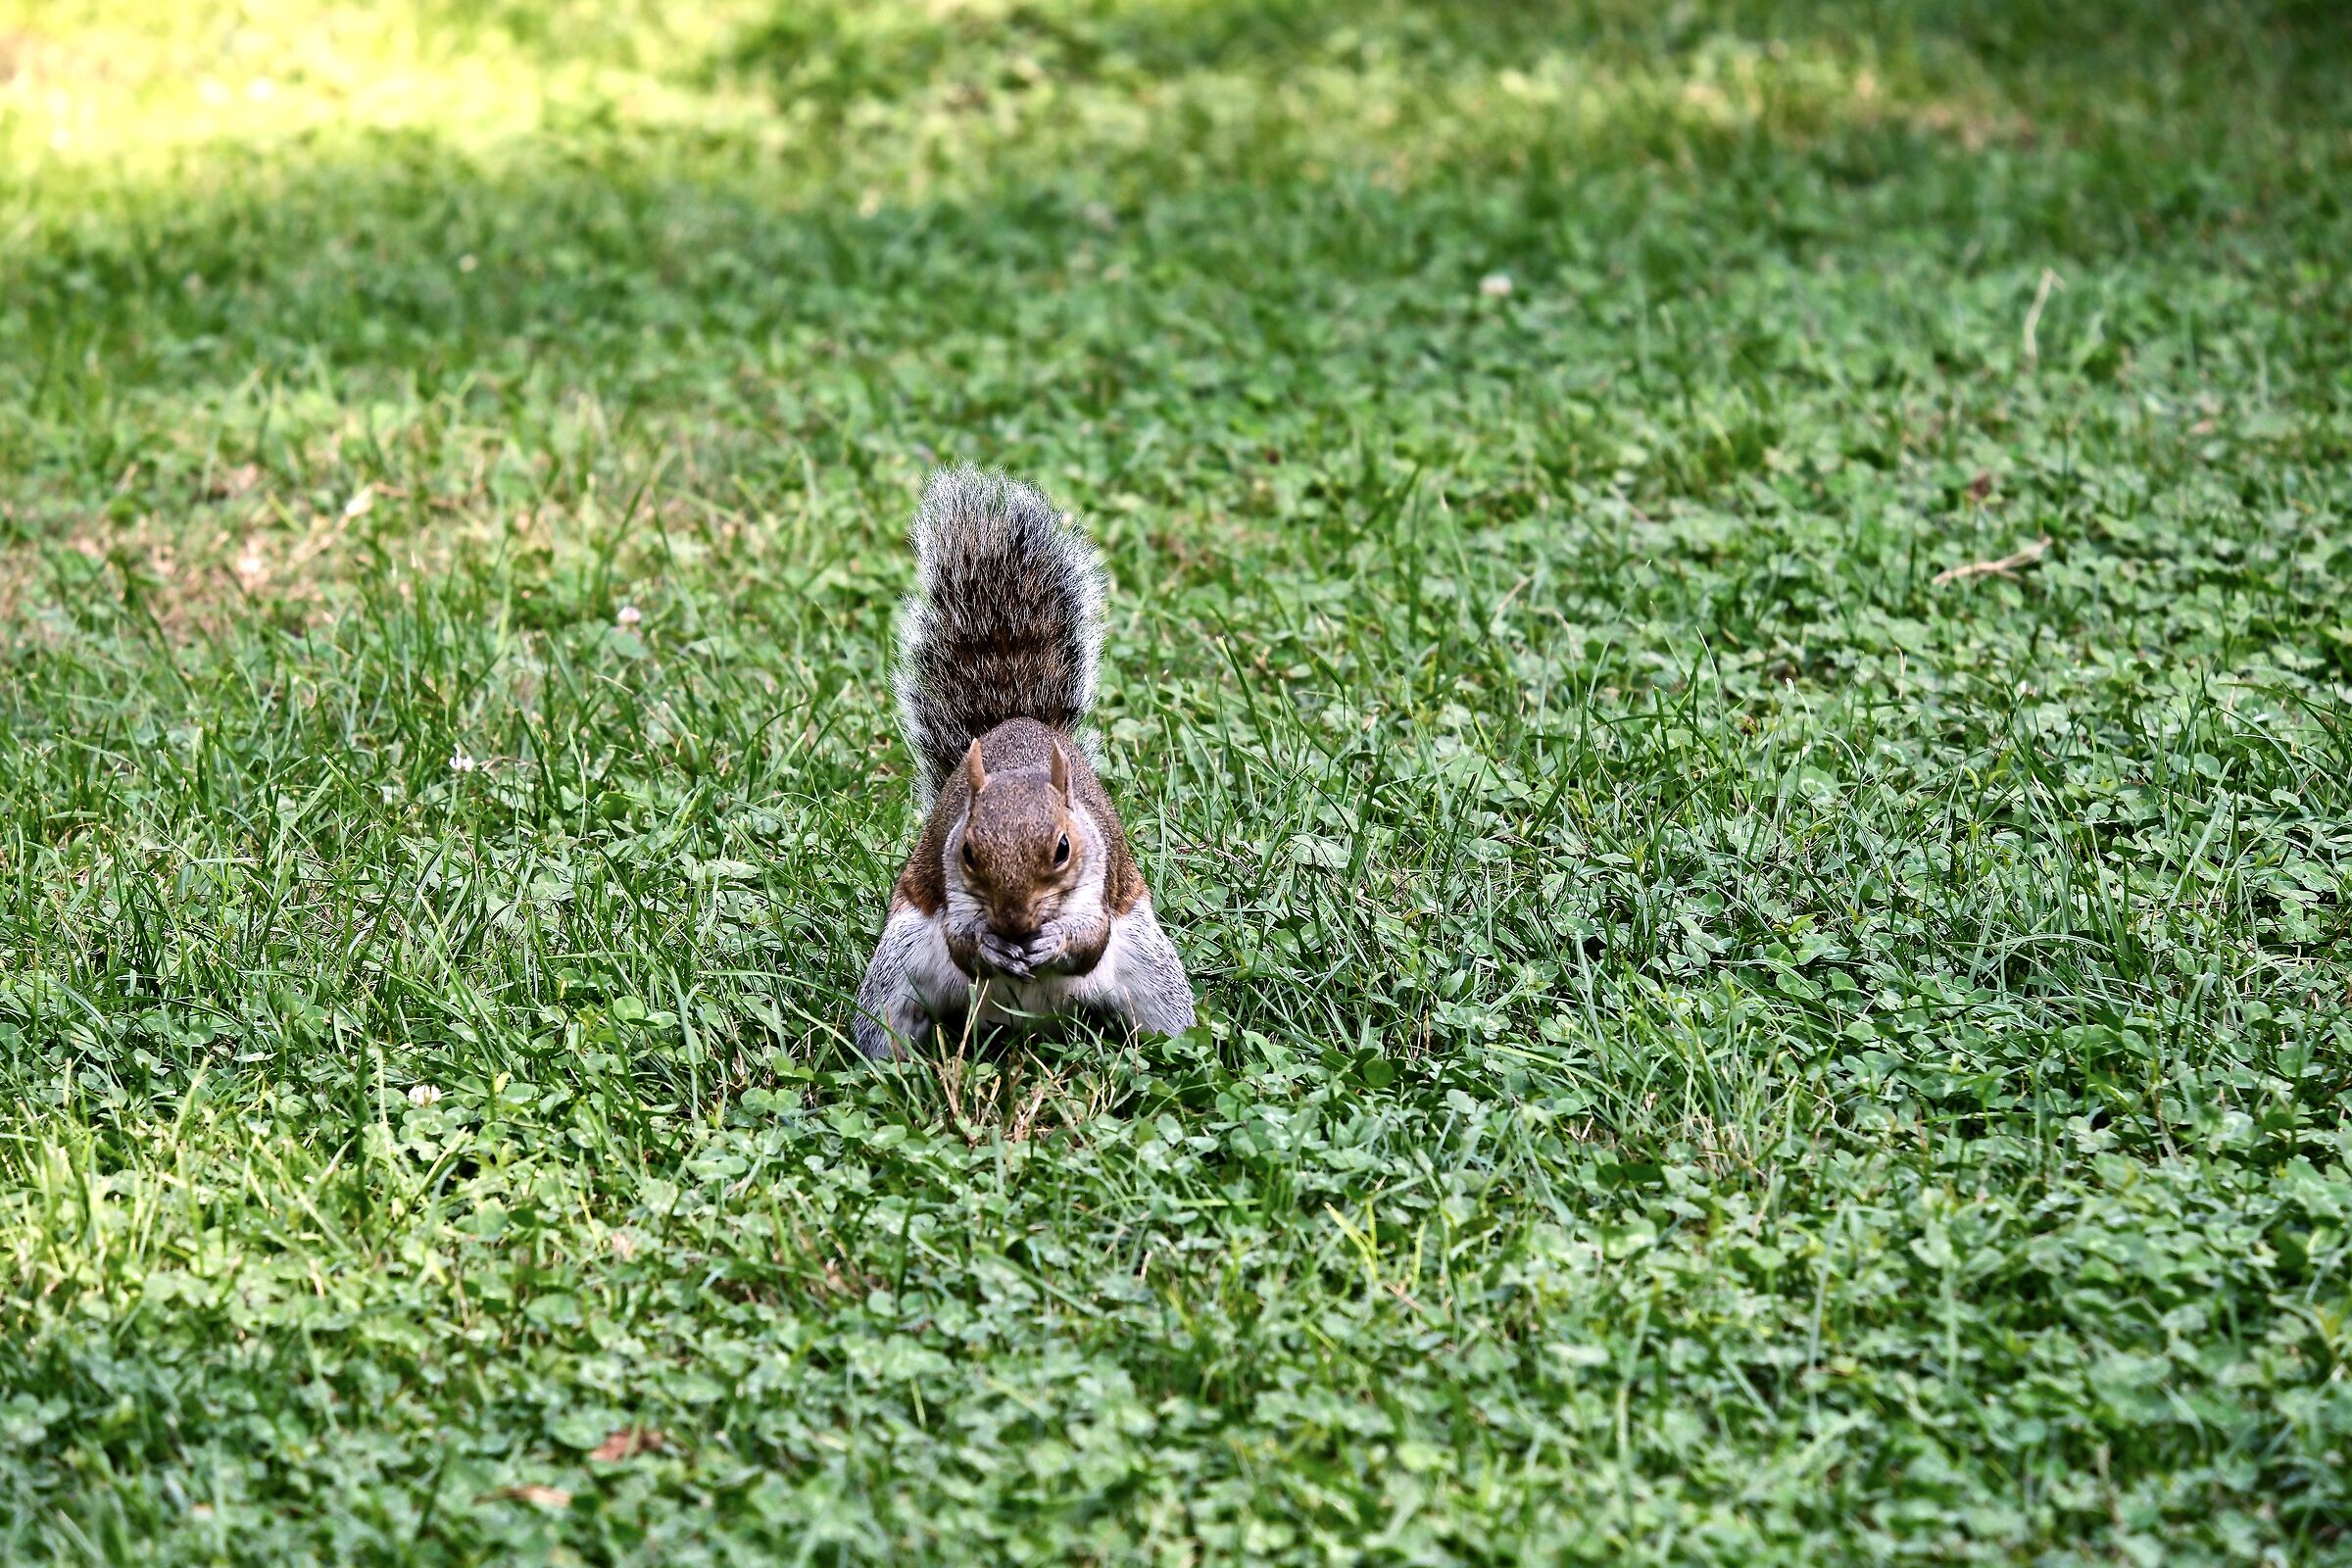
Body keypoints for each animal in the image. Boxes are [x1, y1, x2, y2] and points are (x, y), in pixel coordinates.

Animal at [852, 468, 1196, 1060]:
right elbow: (961, 945)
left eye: (1062, 848)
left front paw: (1055, 941)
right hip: (895, 974)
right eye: (968, 851)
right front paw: (989, 947)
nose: (1013, 924)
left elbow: (1091, 941)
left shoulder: (1100, 877)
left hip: (1155, 976)